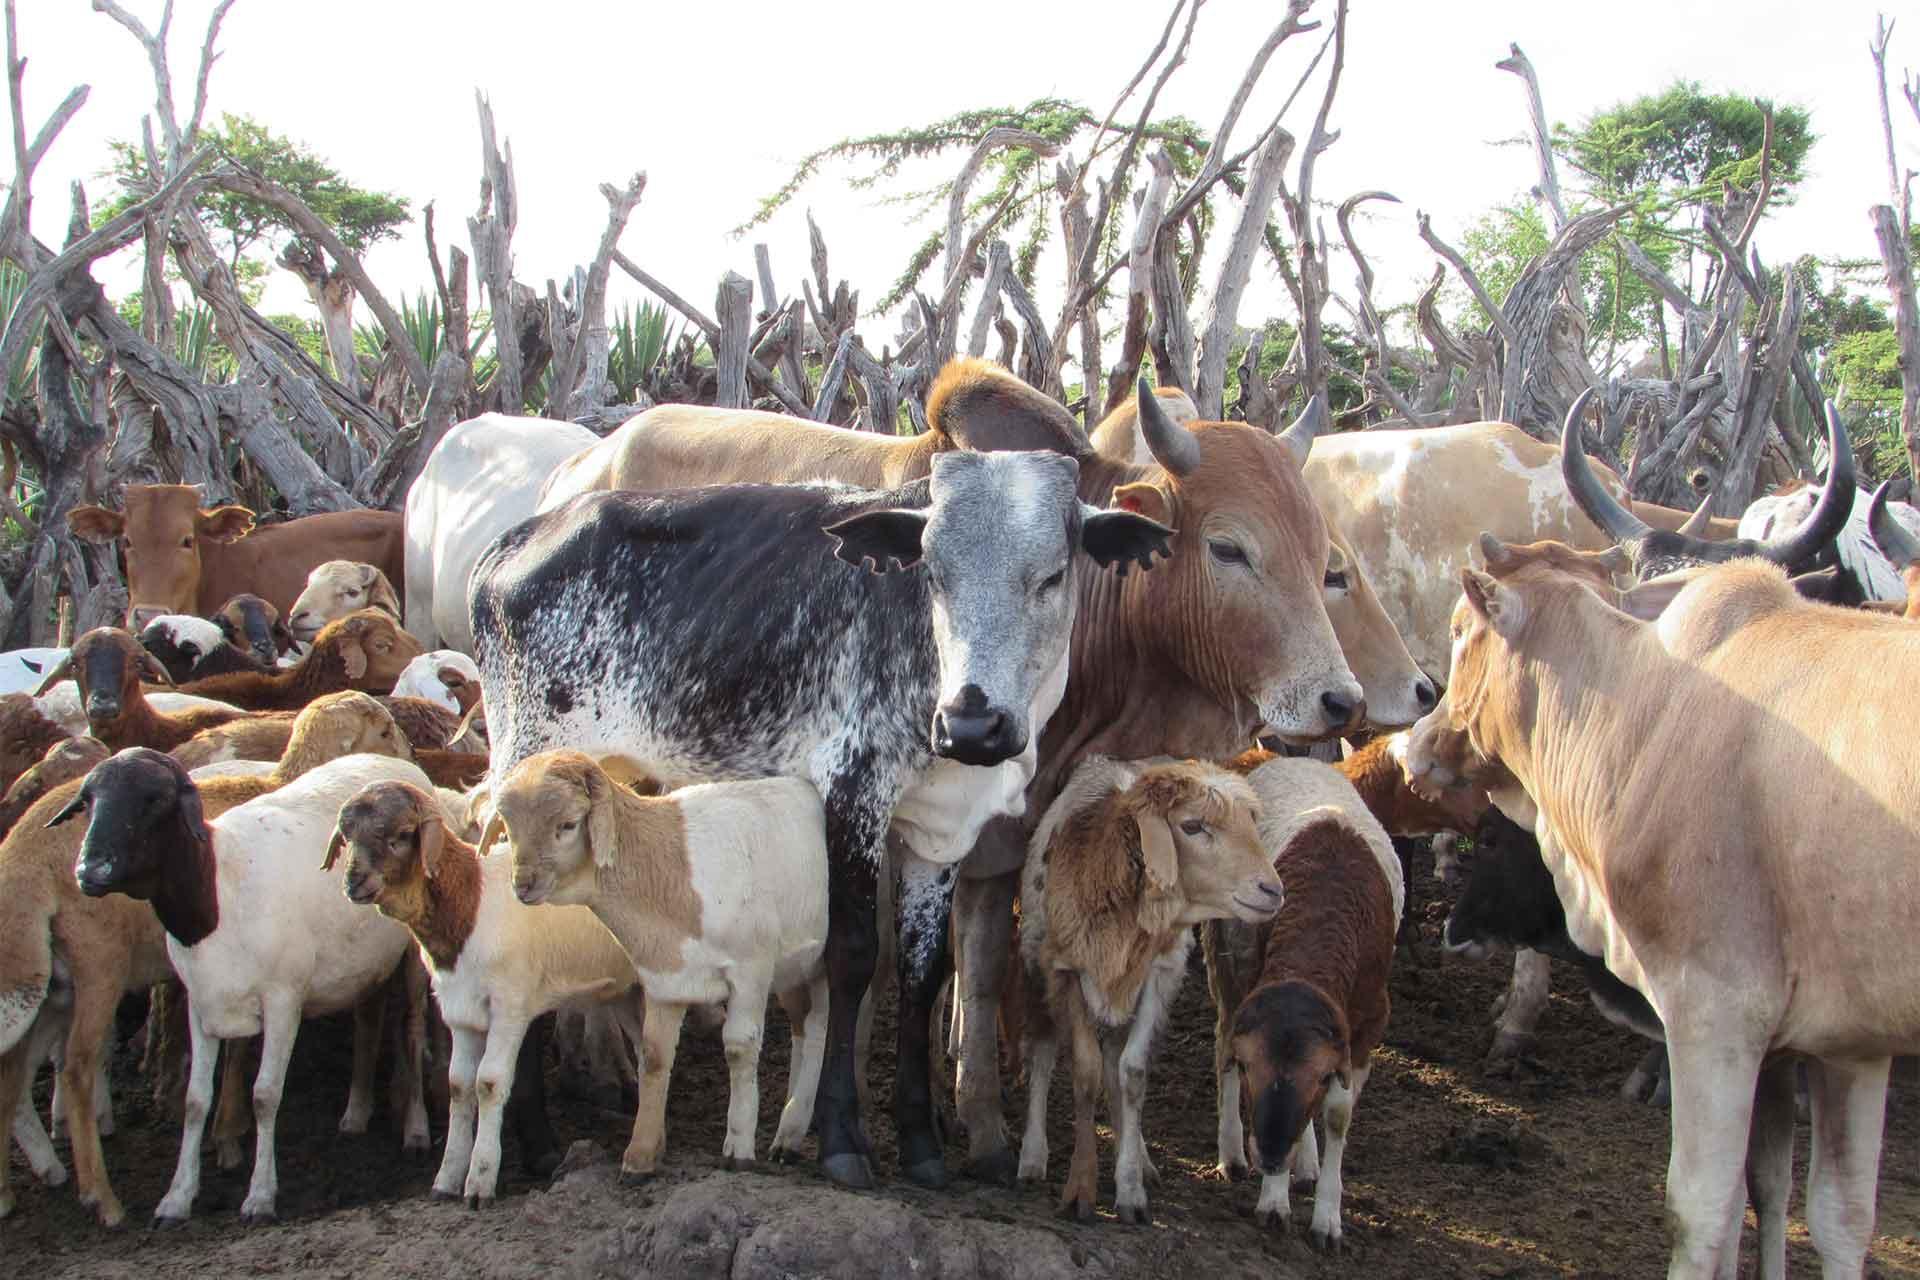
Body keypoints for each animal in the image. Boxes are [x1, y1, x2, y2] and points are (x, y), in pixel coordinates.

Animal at [0, 691, 421, 1225]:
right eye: (384, 730)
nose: (90, 871)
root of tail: (21, 857)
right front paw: (225, 1153)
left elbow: (236, 1065)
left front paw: (226, 1141)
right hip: (96, 966)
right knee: (74, 1065)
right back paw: (100, 1194)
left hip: (51, 980)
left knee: (16, 1067)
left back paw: (32, 1177)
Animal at [328, 779, 645, 1205]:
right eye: (348, 836)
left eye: (401, 835)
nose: (354, 883)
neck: (468, 904)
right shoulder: (461, 1011)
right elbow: (459, 1086)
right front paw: (446, 1180)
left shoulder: (510, 1007)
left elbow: (489, 1084)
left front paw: (479, 1183)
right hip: (626, 988)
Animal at [489, 749, 830, 1177]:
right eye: (509, 824)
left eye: (567, 824)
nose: (523, 884)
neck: (669, 872)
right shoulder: (665, 977)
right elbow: (653, 1056)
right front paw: (640, 1156)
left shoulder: (751, 968)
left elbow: (739, 1048)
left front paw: (738, 1148)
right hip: (794, 966)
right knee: (803, 1023)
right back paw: (791, 1130)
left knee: (821, 1026)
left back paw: (795, 1122)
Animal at [1015, 757, 1279, 1223]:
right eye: (1191, 826)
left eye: (1251, 823)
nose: (1272, 889)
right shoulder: (1065, 970)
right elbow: (1084, 1072)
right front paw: (1080, 1189)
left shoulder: (1159, 974)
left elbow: (1132, 1074)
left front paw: (1131, 1189)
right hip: (1035, 959)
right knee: (1044, 1053)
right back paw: (1032, 1156)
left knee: (1115, 1064)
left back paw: (1138, 1157)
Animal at [1405, 539, 1920, 1278]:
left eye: (1456, 630)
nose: (1418, 740)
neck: (1644, 718)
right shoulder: (1851, 1045)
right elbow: (1839, 1218)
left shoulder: (1717, 1010)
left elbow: (1701, 1210)